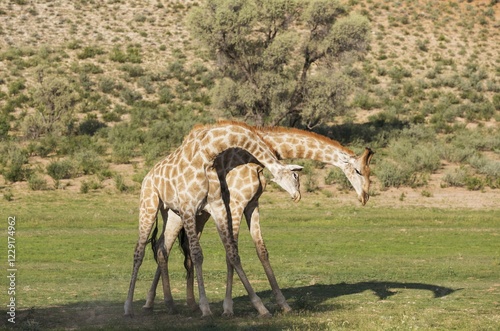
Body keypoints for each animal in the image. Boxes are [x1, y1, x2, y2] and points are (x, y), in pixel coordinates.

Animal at [123, 120, 302, 318]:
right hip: (149, 205)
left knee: (162, 249)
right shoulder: (189, 207)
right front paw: (206, 307)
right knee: (139, 252)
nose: (297, 196)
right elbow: (197, 254)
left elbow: (232, 252)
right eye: (295, 176)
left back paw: (170, 304)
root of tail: (147, 176)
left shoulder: (217, 206)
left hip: (172, 214)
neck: (207, 154)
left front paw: (260, 307)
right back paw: (129, 307)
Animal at [143, 126, 374, 316]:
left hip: (198, 215)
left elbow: (261, 250)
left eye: (369, 172)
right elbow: (231, 253)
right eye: (358, 171)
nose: (365, 196)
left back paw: (180, 303)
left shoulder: (251, 204)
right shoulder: (235, 203)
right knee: (167, 247)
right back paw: (156, 303)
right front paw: (229, 308)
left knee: (172, 248)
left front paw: (283, 304)